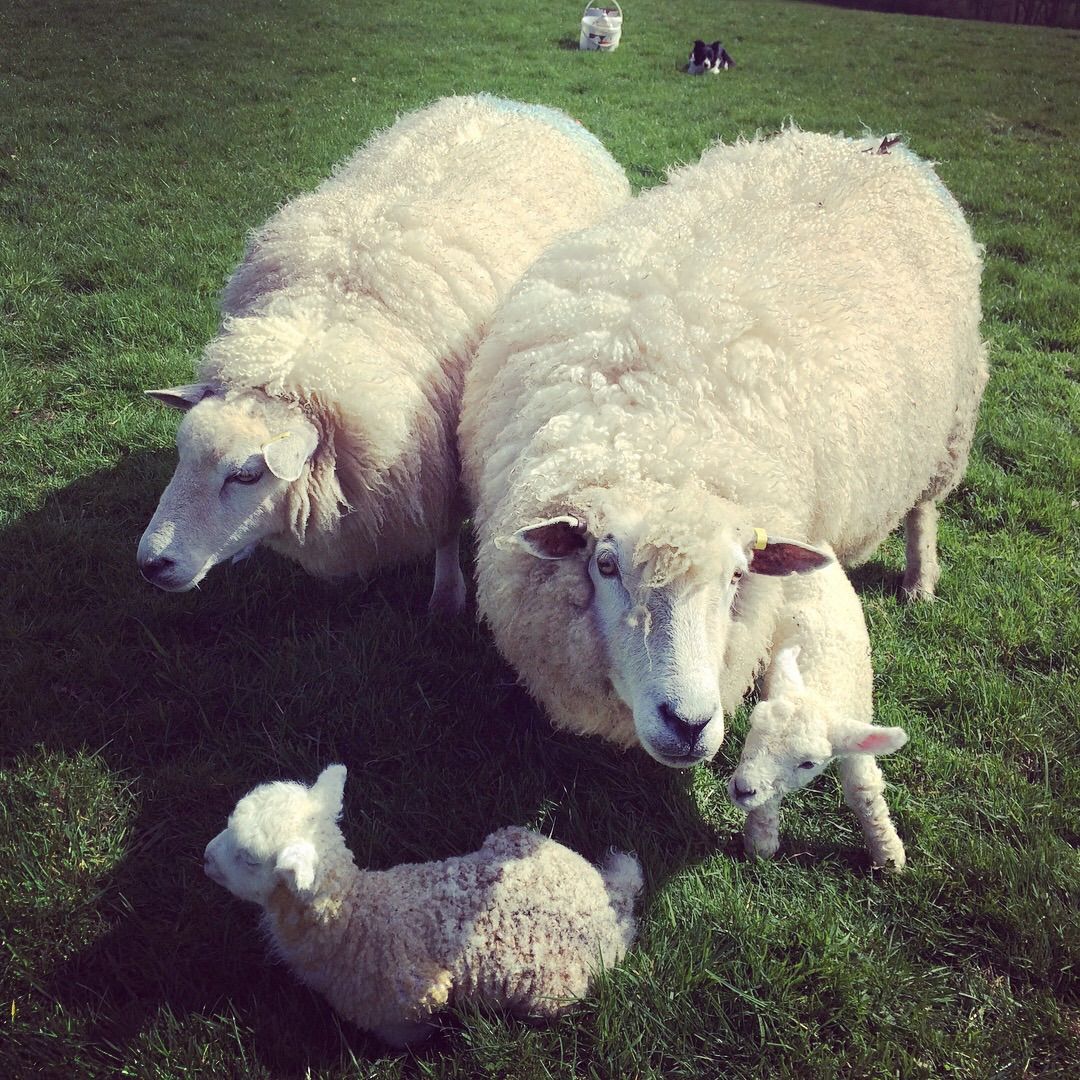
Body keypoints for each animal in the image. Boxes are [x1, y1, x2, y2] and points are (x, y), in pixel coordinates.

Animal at [136, 95, 630, 617]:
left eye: (246, 475)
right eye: (182, 454)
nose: (152, 563)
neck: (325, 319)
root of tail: (520, 102)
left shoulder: (440, 463)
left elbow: (444, 532)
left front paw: (446, 598)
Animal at [203, 764, 639, 1041]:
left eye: (248, 858)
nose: (205, 857)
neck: (353, 918)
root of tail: (610, 901)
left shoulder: (411, 999)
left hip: (553, 993)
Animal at [457, 126, 989, 768]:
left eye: (739, 576)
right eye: (605, 565)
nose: (688, 723)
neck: (654, 427)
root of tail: (878, 144)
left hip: (953, 420)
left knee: (924, 507)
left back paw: (919, 582)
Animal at [725, 648, 911, 868]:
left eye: (808, 764)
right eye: (753, 725)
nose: (742, 789)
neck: (823, 676)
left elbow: (863, 789)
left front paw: (888, 851)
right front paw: (760, 840)